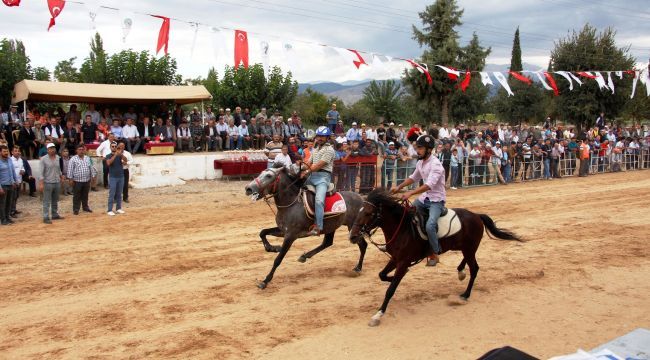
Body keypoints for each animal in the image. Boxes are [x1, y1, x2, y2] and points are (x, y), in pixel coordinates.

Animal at [346, 190, 520, 328]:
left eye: (368, 213)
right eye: (359, 212)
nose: (352, 236)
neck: (403, 229)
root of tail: (476, 216)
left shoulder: (402, 262)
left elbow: (390, 290)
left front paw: (378, 314)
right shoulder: (395, 259)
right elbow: (382, 275)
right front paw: (391, 279)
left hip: (469, 248)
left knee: (475, 268)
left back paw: (465, 294)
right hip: (464, 248)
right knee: (468, 263)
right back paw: (460, 271)